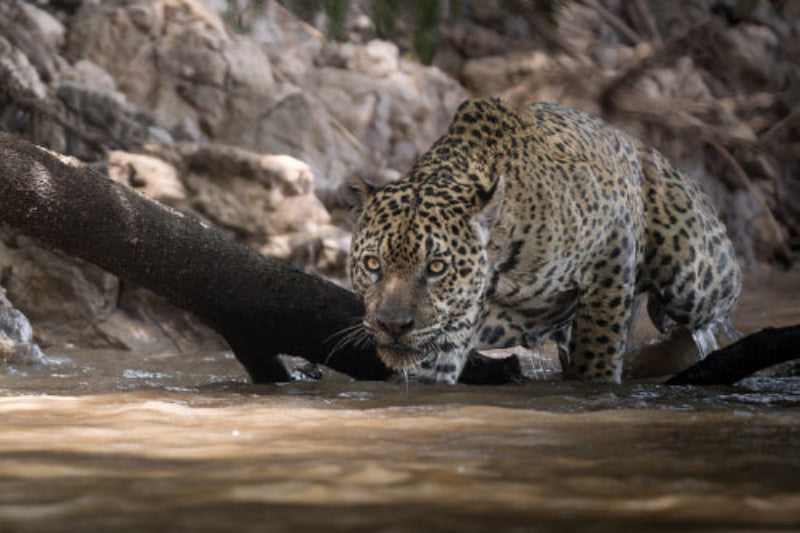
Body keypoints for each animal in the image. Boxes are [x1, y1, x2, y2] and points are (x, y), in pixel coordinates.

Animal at [348, 97, 741, 384]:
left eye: (436, 267)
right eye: (372, 264)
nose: (393, 326)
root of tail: (636, 142)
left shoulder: (611, 247)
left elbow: (599, 344)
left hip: (695, 282)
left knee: (710, 314)